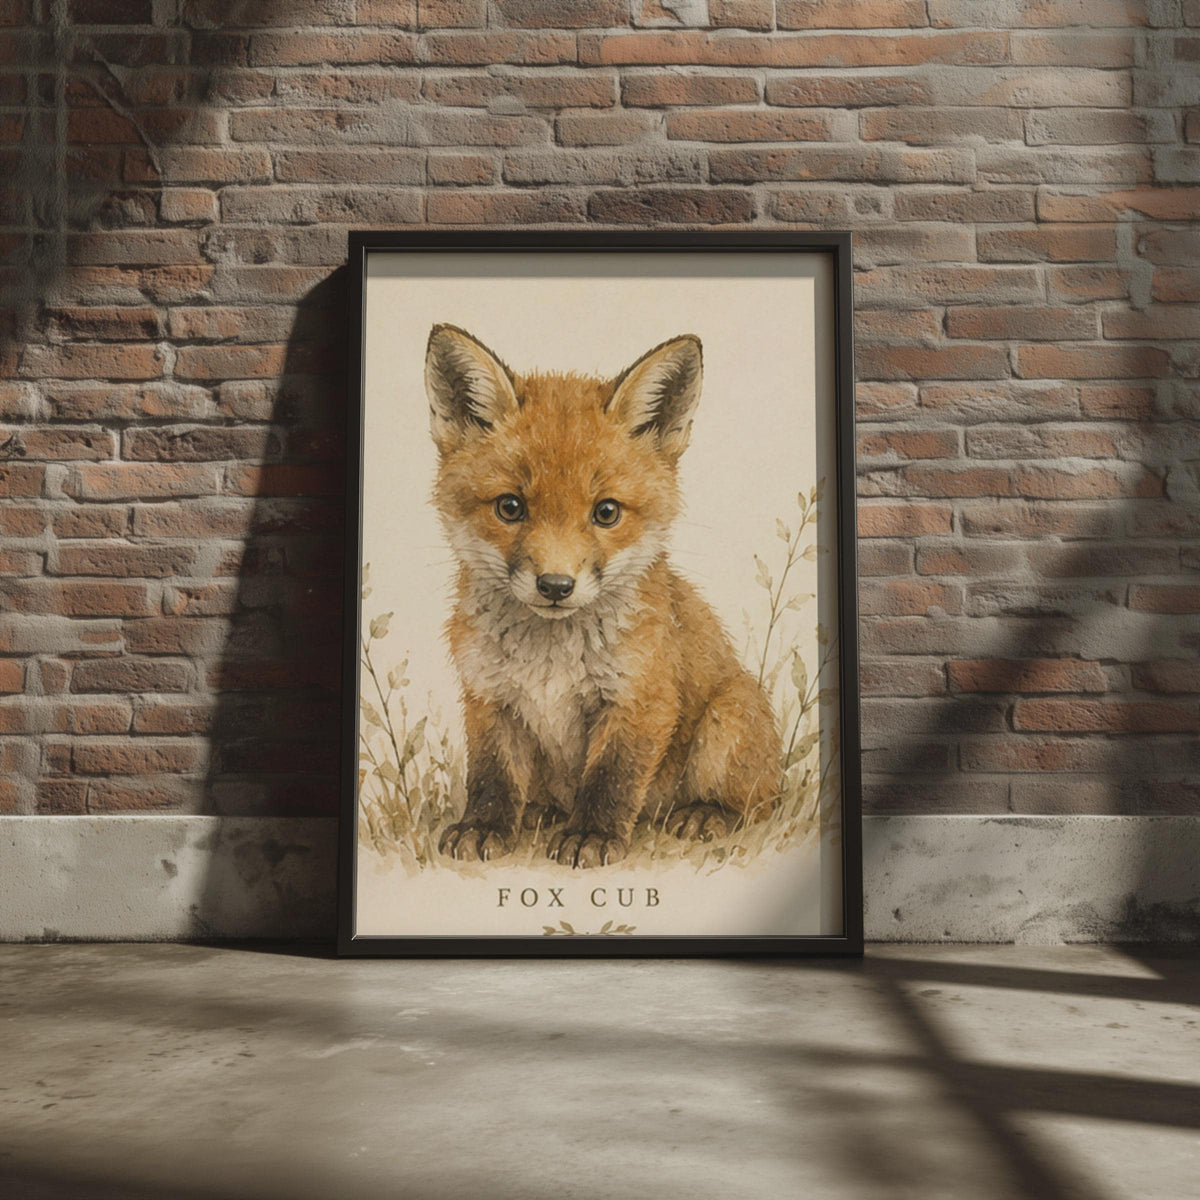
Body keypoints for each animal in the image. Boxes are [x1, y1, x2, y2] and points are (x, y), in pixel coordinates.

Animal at [425, 323, 783, 869]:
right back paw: (540, 812)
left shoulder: (641, 698)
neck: (550, 658)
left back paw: (706, 813)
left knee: (759, 802)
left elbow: (611, 779)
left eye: (607, 512)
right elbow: (492, 775)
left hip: (728, 719)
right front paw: (485, 826)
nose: (555, 586)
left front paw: (591, 836)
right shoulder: (488, 696)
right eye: (510, 507)